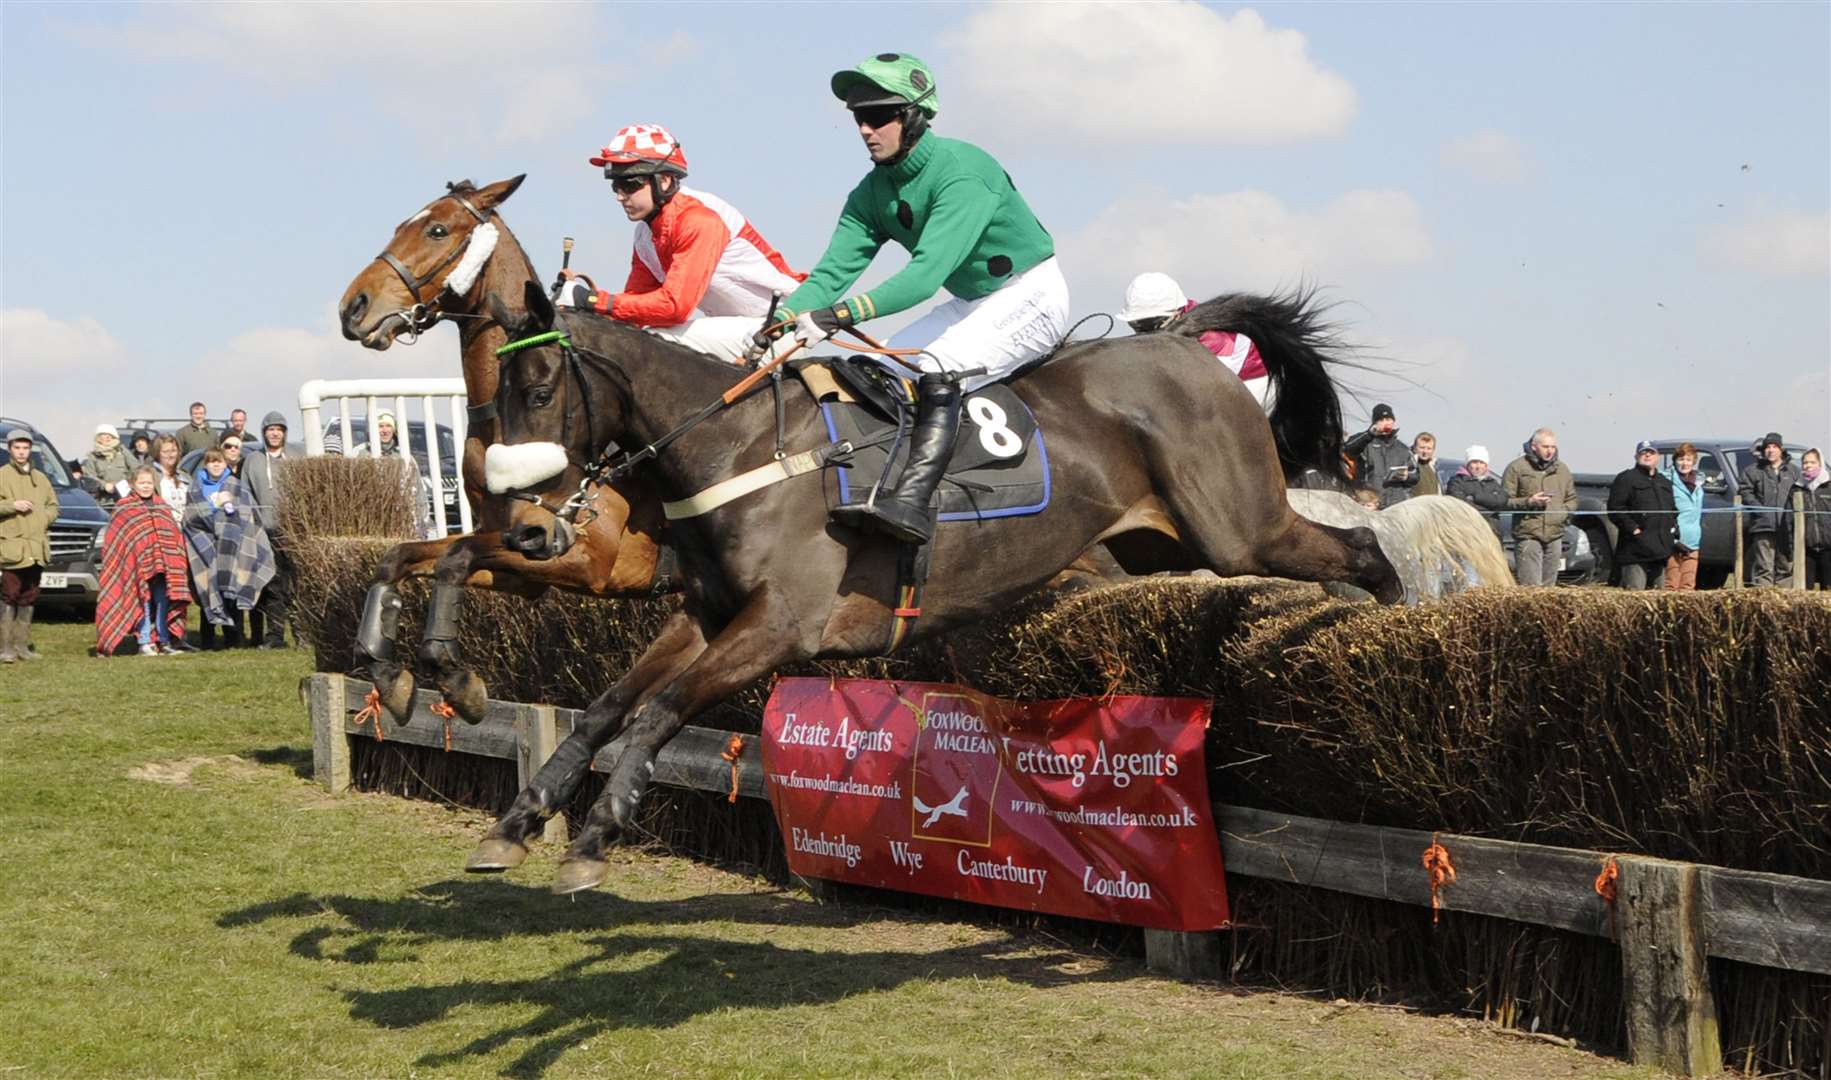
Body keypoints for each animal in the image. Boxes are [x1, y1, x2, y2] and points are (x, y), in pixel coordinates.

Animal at [336, 175, 673, 721]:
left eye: (436, 229)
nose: (353, 307)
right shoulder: (520, 564)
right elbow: (403, 557)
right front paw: (386, 671)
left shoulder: (585, 560)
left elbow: (453, 560)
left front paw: (451, 672)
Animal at [465, 259, 1391, 889]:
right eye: (490, 399)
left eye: (538, 391)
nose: (529, 529)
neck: (739, 450)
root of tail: (1178, 343)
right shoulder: (707, 613)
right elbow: (605, 706)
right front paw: (519, 819)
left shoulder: (782, 624)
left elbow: (659, 709)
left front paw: (597, 835)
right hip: (1161, 543)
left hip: (1241, 529)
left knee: (1363, 549)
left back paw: (1379, 615)